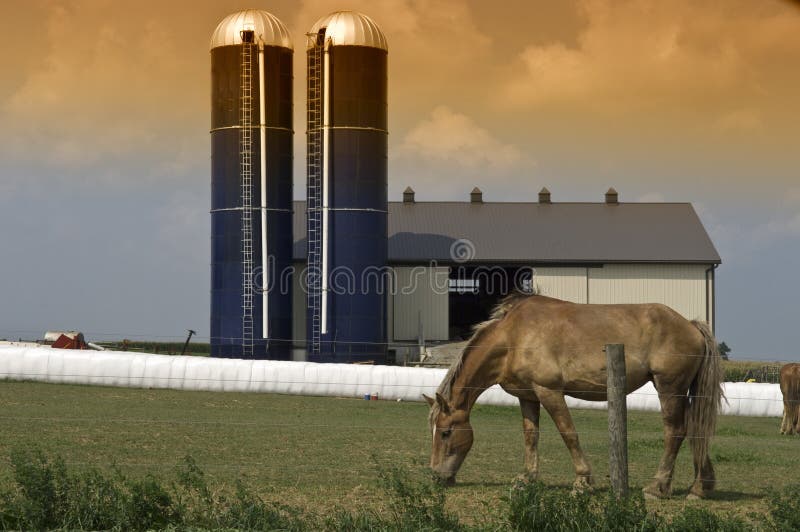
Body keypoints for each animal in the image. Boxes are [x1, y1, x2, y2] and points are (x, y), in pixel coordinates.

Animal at [424, 296, 724, 498]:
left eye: (446, 433)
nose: (436, 476)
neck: (514, 337)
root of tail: (691, 325)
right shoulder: (528, 397)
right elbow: (530, 436)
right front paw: (526, 478)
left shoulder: (549, 391)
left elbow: (568, 433)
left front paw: (582, 481)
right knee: (695, 430)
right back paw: (700, 487)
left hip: (669, 388)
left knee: (676, 431)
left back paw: (657, 486)